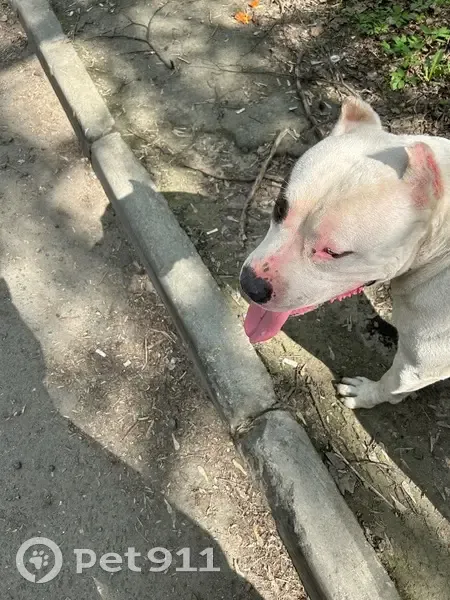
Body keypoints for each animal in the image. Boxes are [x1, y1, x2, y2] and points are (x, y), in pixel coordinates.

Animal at [240, 97, 450, 409]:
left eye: (334, 253)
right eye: (279, 208)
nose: (250, 284)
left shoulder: (418, 365)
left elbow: (392, 385)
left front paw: (365, 394)